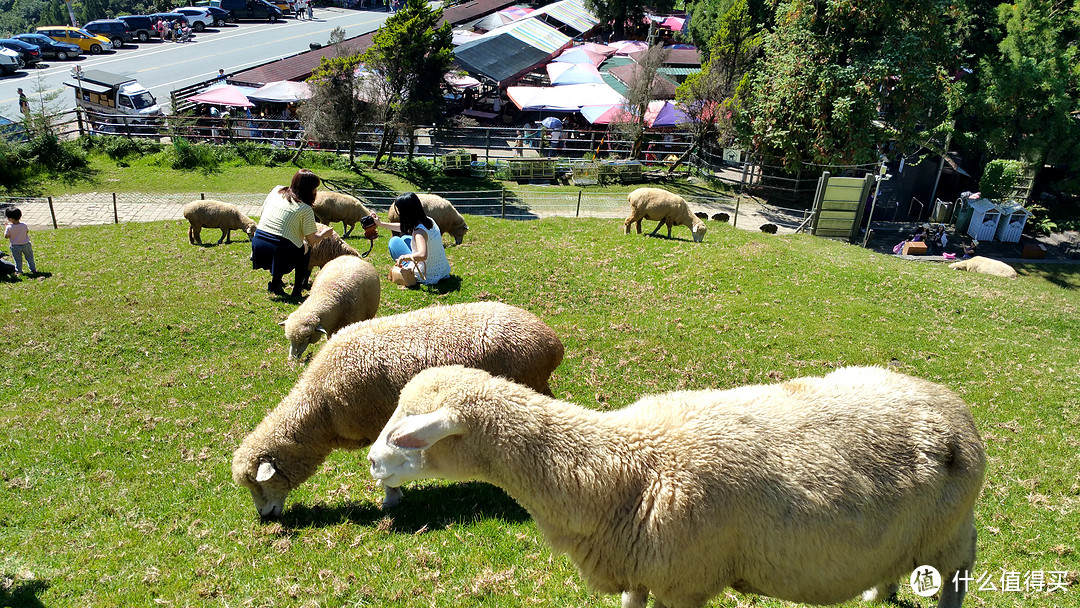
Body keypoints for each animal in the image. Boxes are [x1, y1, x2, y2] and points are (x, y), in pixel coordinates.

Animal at [228, 302, 565, 516]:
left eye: (259, 484)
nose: (265, 516)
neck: (320, 409)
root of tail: (551, 340)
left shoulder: (379, 422)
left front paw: (390, 498)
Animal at [371, 367, 989, 608]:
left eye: (408, 434)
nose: (374, 462)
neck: (623, 466)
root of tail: (957, 412)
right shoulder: (640, 569)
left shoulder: (686, 583)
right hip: (909, 535)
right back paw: (874, 594)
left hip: (953, 537)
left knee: (956, 582)